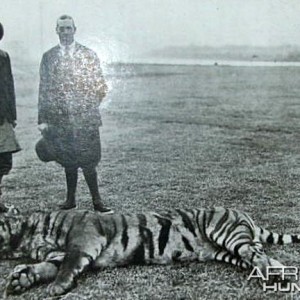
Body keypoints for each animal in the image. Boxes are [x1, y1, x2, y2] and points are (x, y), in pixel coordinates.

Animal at [0, 205, 298, 296]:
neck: (26, 236)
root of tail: (243, 213)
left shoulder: (84, 237)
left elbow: (68, 265)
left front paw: (57, 287)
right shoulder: (54, 255)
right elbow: (45, 267)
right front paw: (20, 280)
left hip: (228, 234)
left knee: (259, 255)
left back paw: (279, 278)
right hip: (228, 251)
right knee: (262, 257)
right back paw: (281, 277)